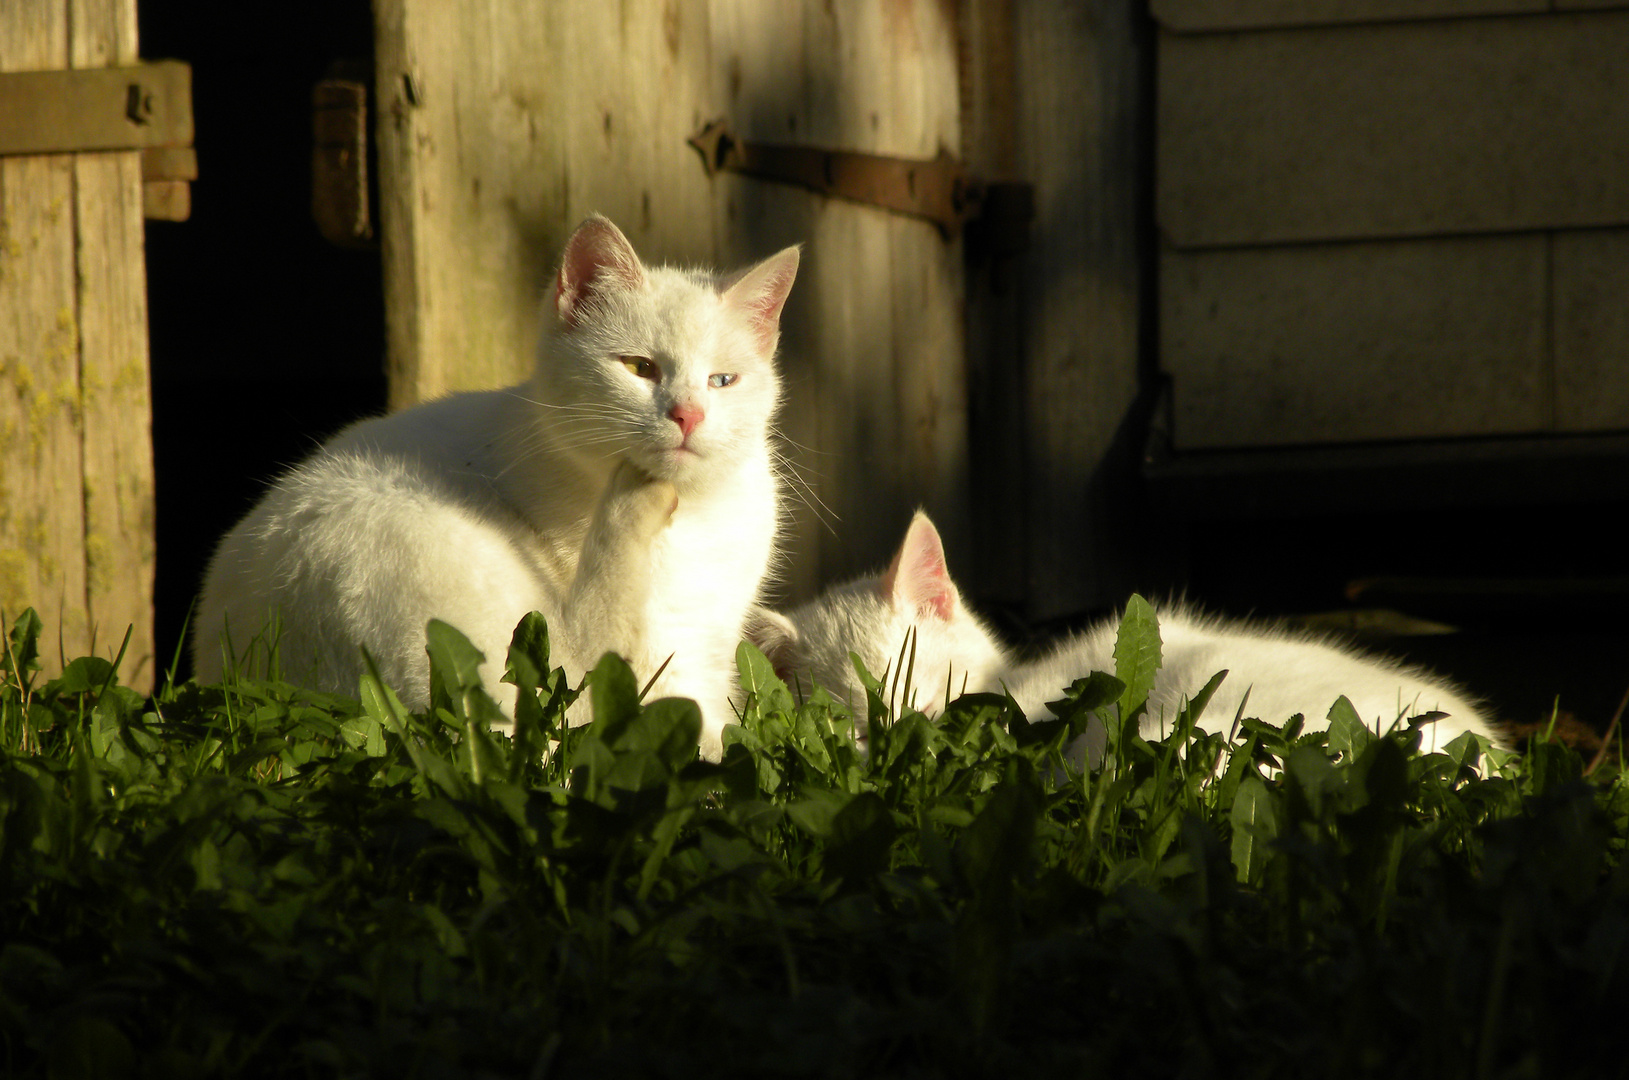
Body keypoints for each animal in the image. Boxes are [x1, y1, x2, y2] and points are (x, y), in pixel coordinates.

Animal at [197, 215, 801, 759]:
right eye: (639, 367)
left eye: (722, 381)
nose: (688, 415)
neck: (692, 517)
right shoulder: (657, 652)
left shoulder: (705, 647)